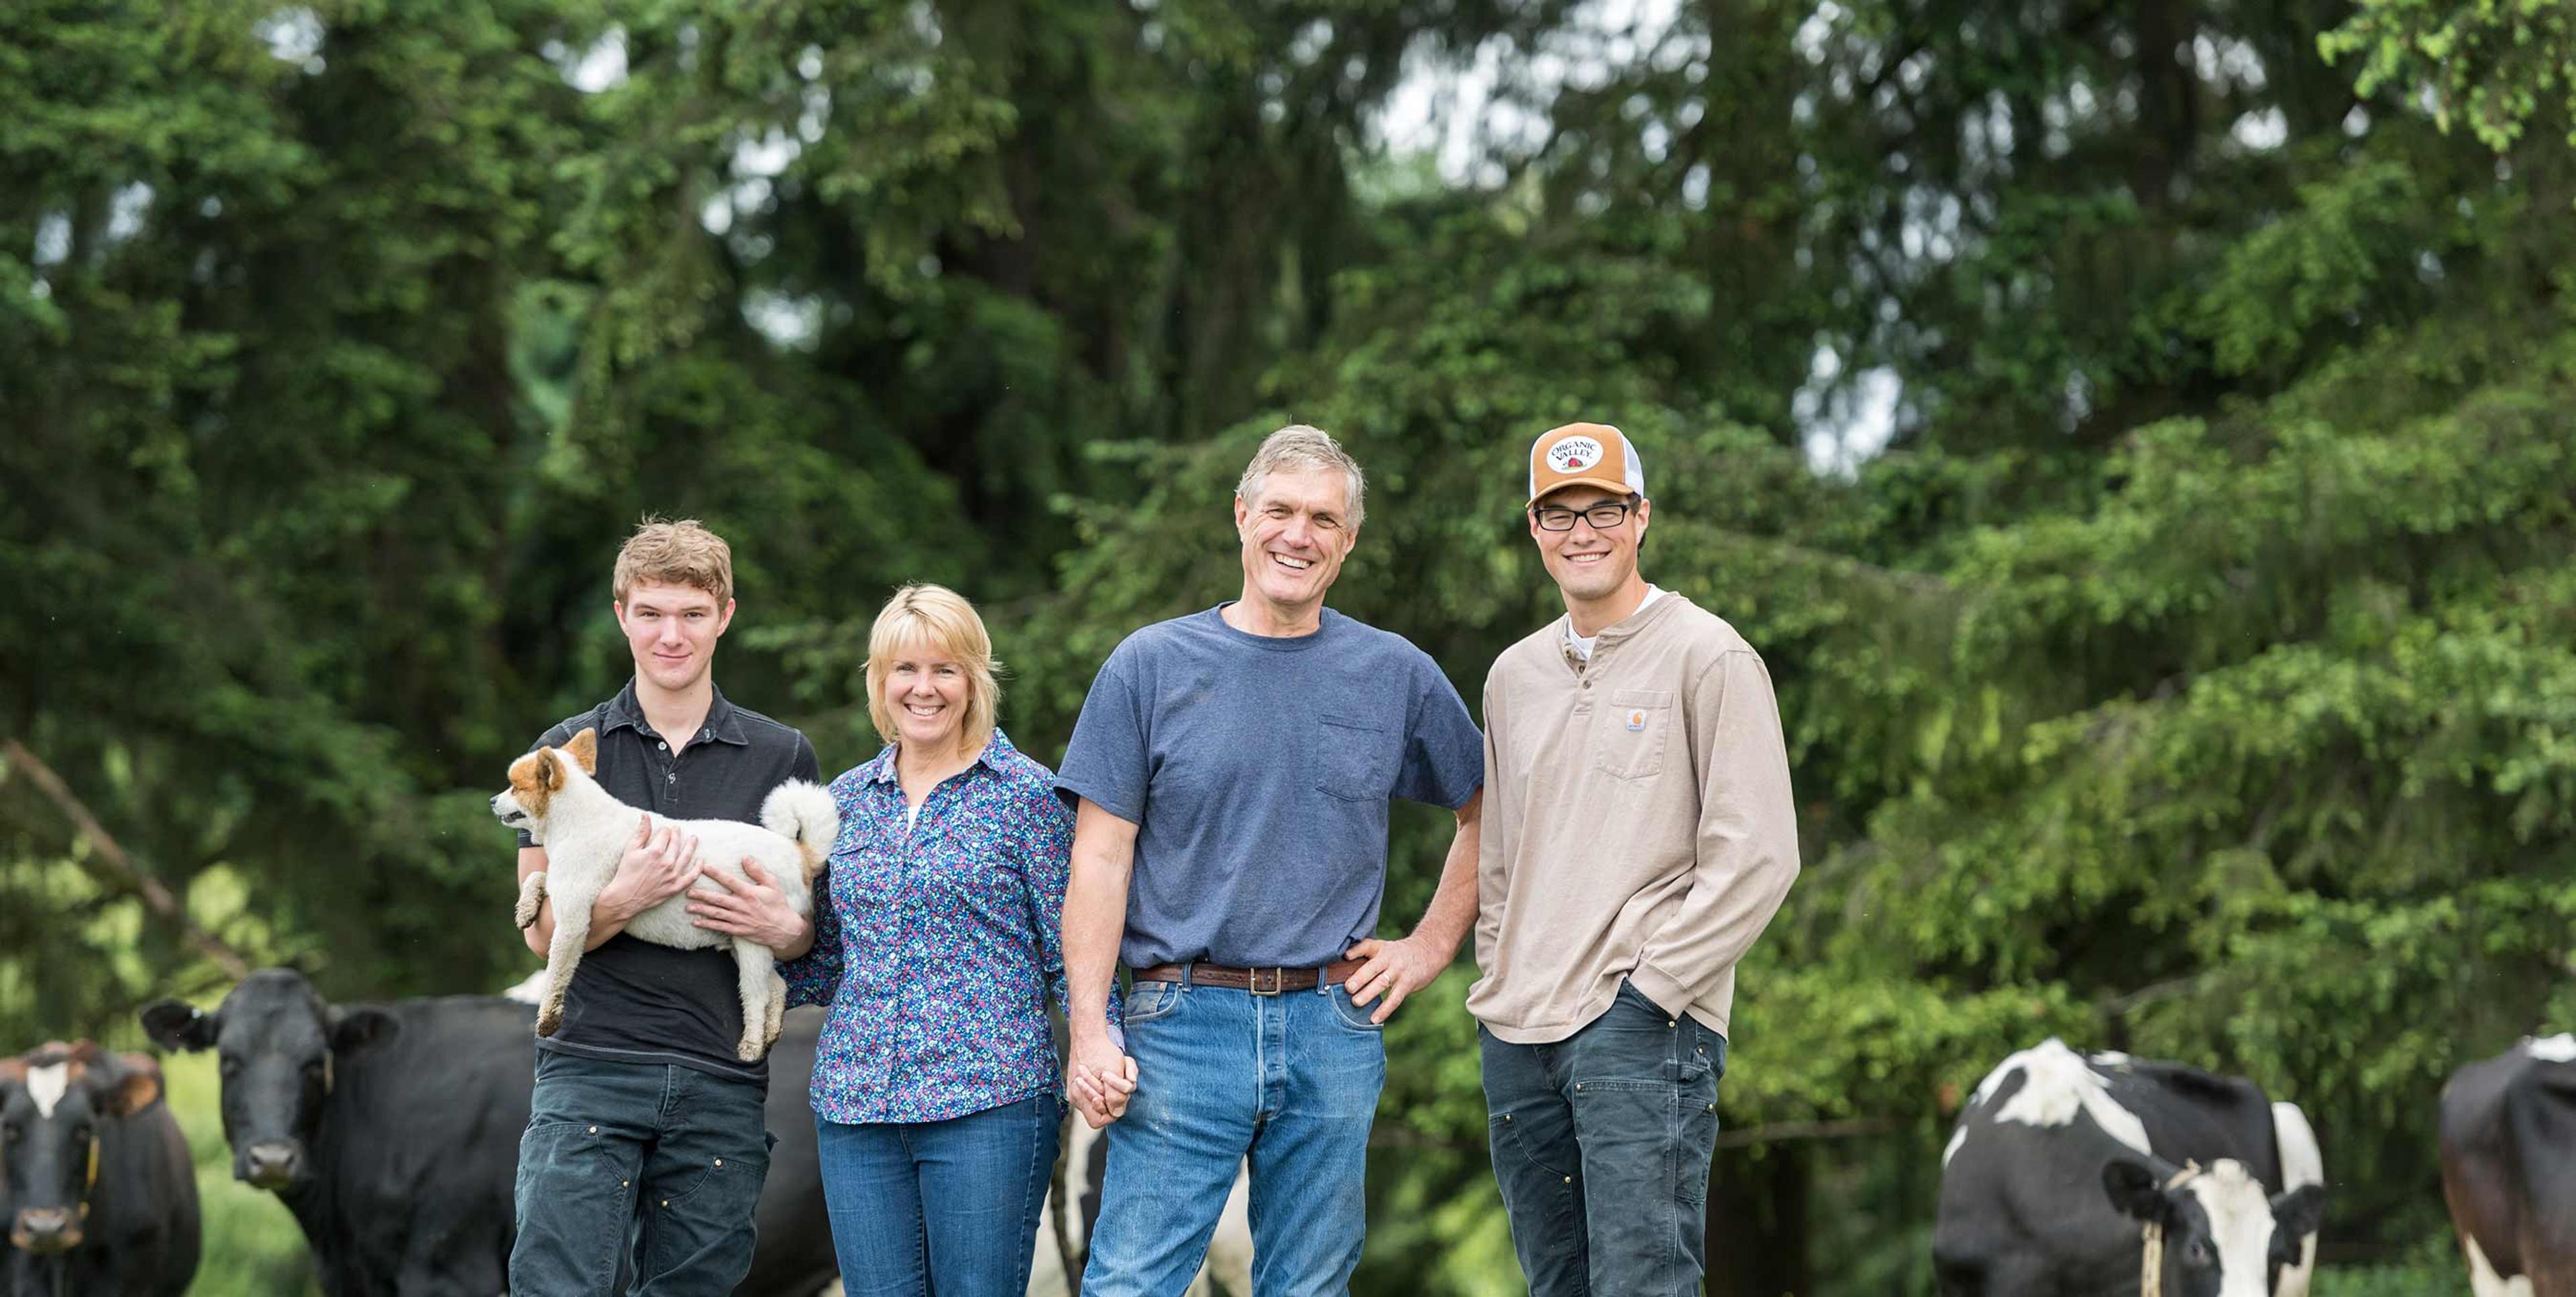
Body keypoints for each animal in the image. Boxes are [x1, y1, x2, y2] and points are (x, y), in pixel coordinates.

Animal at [492, 730, 835, 1065]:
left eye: (515, 787)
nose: (494, 800)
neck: (579, 822)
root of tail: (799, 854)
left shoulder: (573, 923)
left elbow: (556, 976)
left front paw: (548, 1017)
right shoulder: (562, 886)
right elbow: (538, 878)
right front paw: (526, 908)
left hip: (753, 941)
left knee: (756, 998)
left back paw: (751, 1044)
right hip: (741, 943)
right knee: (777, 987)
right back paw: (771, 1032)